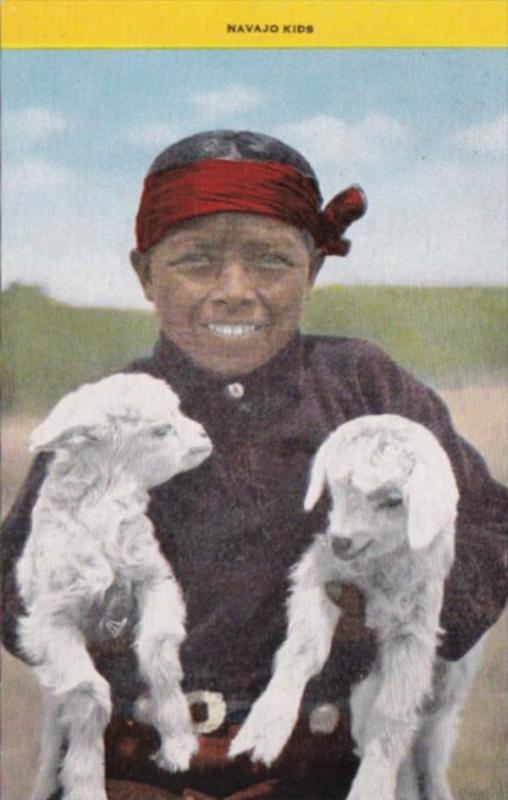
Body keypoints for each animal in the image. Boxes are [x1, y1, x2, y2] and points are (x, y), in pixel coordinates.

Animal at [16, 374, 212, 800]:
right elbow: (90, 693)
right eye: (161, 429)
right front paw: (86, 784)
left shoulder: (152, 579)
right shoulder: (52, 619)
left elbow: (158, 650)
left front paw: (178, 745)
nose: (204, 435)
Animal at [230, 416, 484, 796]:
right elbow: (304, 650)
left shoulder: (414, 629)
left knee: (429, 753)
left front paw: (372, 785)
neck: (376, 573)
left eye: (394, 500)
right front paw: (265, 727)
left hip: (446, 697)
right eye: (335, 487)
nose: (340, 541)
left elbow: (393, 712)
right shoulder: (320, 573)